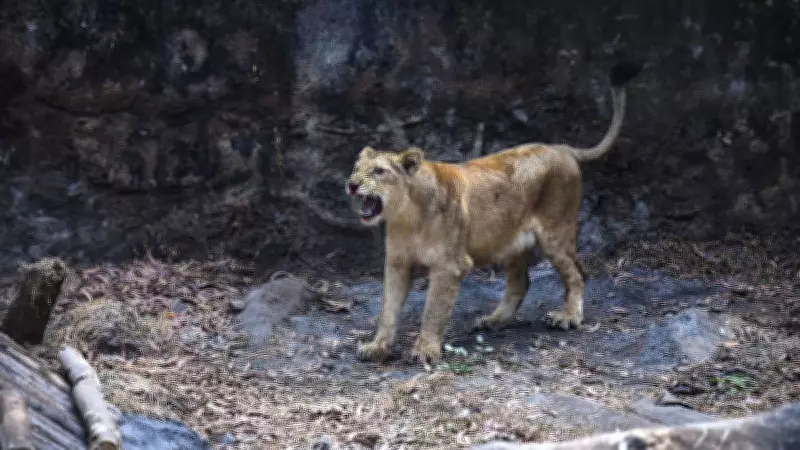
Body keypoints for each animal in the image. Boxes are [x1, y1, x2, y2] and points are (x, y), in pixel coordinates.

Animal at [345, 62, 642, 365]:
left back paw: (568, 317)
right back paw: (494, 320)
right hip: (513, 241)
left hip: (556, 233)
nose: (352, 184)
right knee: (521, 282)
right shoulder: (397, 263)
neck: (407, 216)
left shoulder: (450, 265)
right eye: (356, 168)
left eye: (379, 171)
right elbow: (388, 310)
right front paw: (377, 347)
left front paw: (425, 350)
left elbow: (433, 311)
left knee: (578, 273)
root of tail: (561, 147)